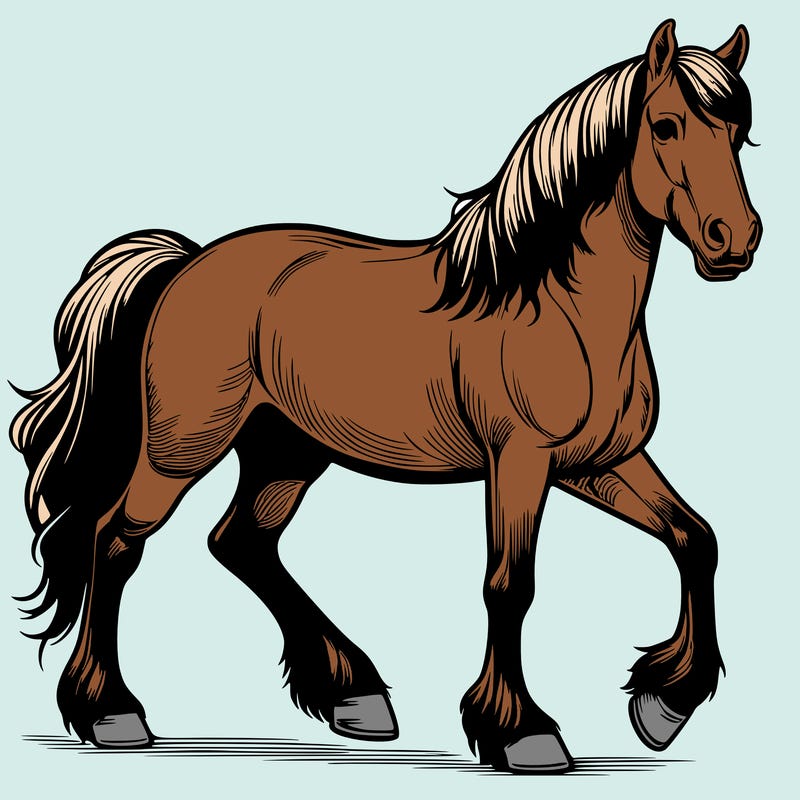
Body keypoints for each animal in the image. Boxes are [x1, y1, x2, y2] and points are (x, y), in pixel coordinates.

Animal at [10, 20, 760, 773]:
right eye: (665, 126)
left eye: (740, 131)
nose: (736, 240)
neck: (556, 306)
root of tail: (186, 264)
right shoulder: (520, 462)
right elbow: (509, 585)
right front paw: (522, 732)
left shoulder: (599, 463)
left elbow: (696, 538)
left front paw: (664, 705)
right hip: (181, 449)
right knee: (115, 541)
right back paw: (112, 713)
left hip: (286, 452)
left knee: (241, 542)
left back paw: (354, 695)